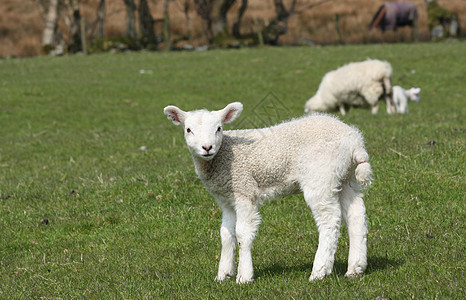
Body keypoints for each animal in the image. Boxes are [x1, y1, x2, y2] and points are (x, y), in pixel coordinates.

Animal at [164, 102, 372, 284]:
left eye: (218, 128)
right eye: (188, 130)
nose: (207, 148)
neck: (222, 157)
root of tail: (355, 142)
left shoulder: (244, 190)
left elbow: (242, 233)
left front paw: (244, 276)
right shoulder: (227, 199)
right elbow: (226, 234)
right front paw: (223, 275)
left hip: (320, 175)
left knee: (329, 220)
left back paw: (319, 271)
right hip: (344, 177)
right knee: (356, 214)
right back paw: (355, 268)